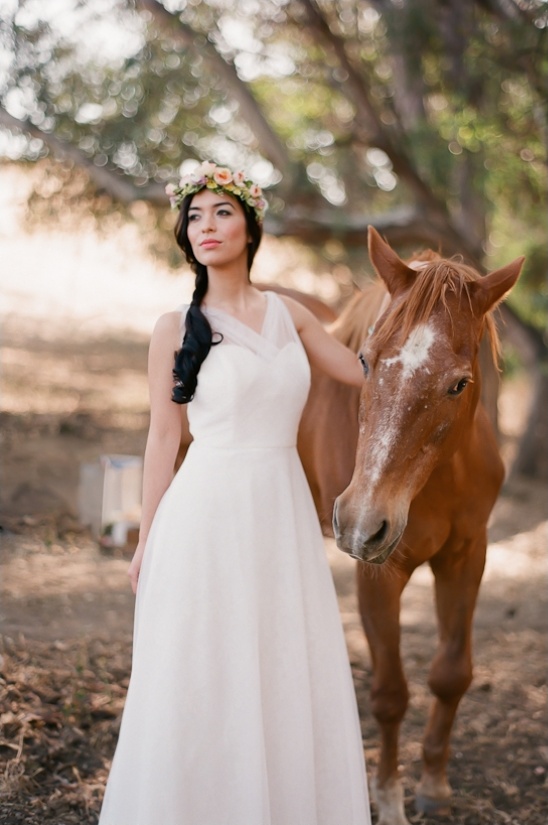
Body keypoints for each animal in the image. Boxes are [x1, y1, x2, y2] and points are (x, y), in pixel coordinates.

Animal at [300, 229, 524, 824]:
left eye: (459, 384)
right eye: (365, 360)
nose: (360, 519)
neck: (438, 479)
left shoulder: (467, 556)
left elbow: (451, 674)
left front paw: (434, 786)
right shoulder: (379, 571)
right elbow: (390, 694)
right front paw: (387, 796)